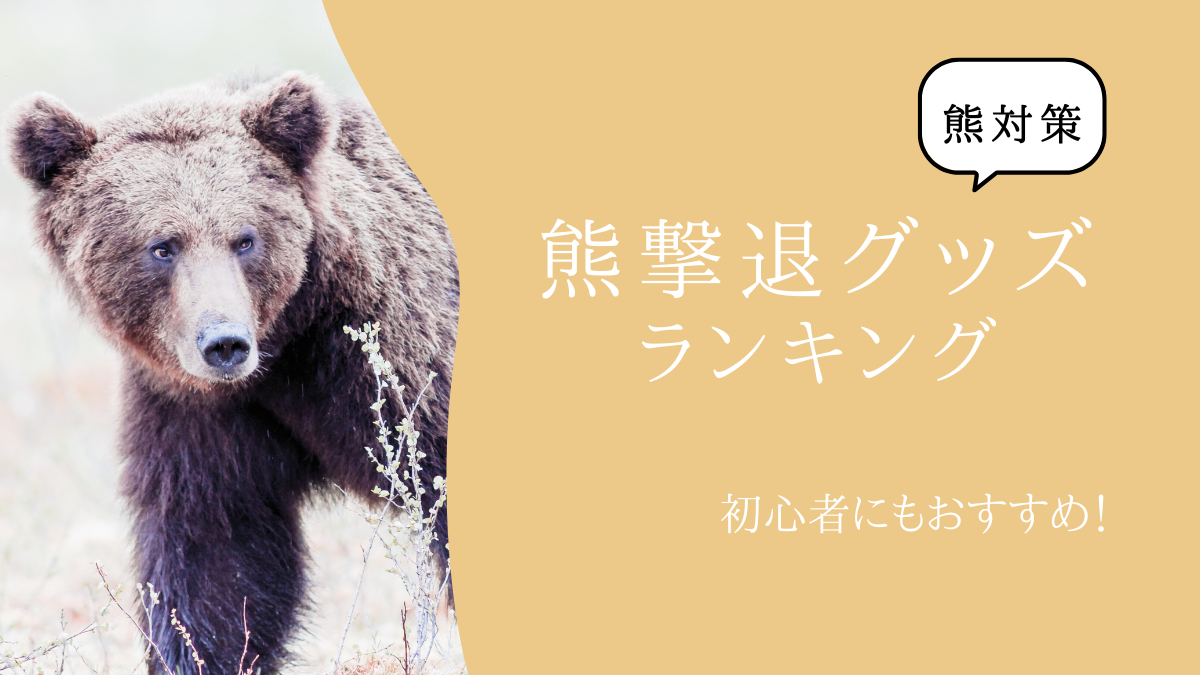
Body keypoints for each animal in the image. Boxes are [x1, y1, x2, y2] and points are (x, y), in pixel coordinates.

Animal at [6, 72, 458, 675]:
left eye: (245, 238)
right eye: (162, 247)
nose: (224, 343)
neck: (289, 341)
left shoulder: (393, 358)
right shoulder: (199, 416)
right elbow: (217, 555)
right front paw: (203, 654)